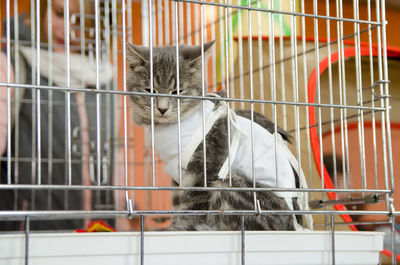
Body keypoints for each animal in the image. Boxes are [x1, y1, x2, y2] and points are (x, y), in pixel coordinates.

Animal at [126, 40, 304, 229]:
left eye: (177, 91)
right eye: (150, 90)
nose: (162, 108)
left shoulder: (205, 165)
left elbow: (193, 204)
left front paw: (182, 227)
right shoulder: (177, 174)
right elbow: (177, 202)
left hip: (231, 183)